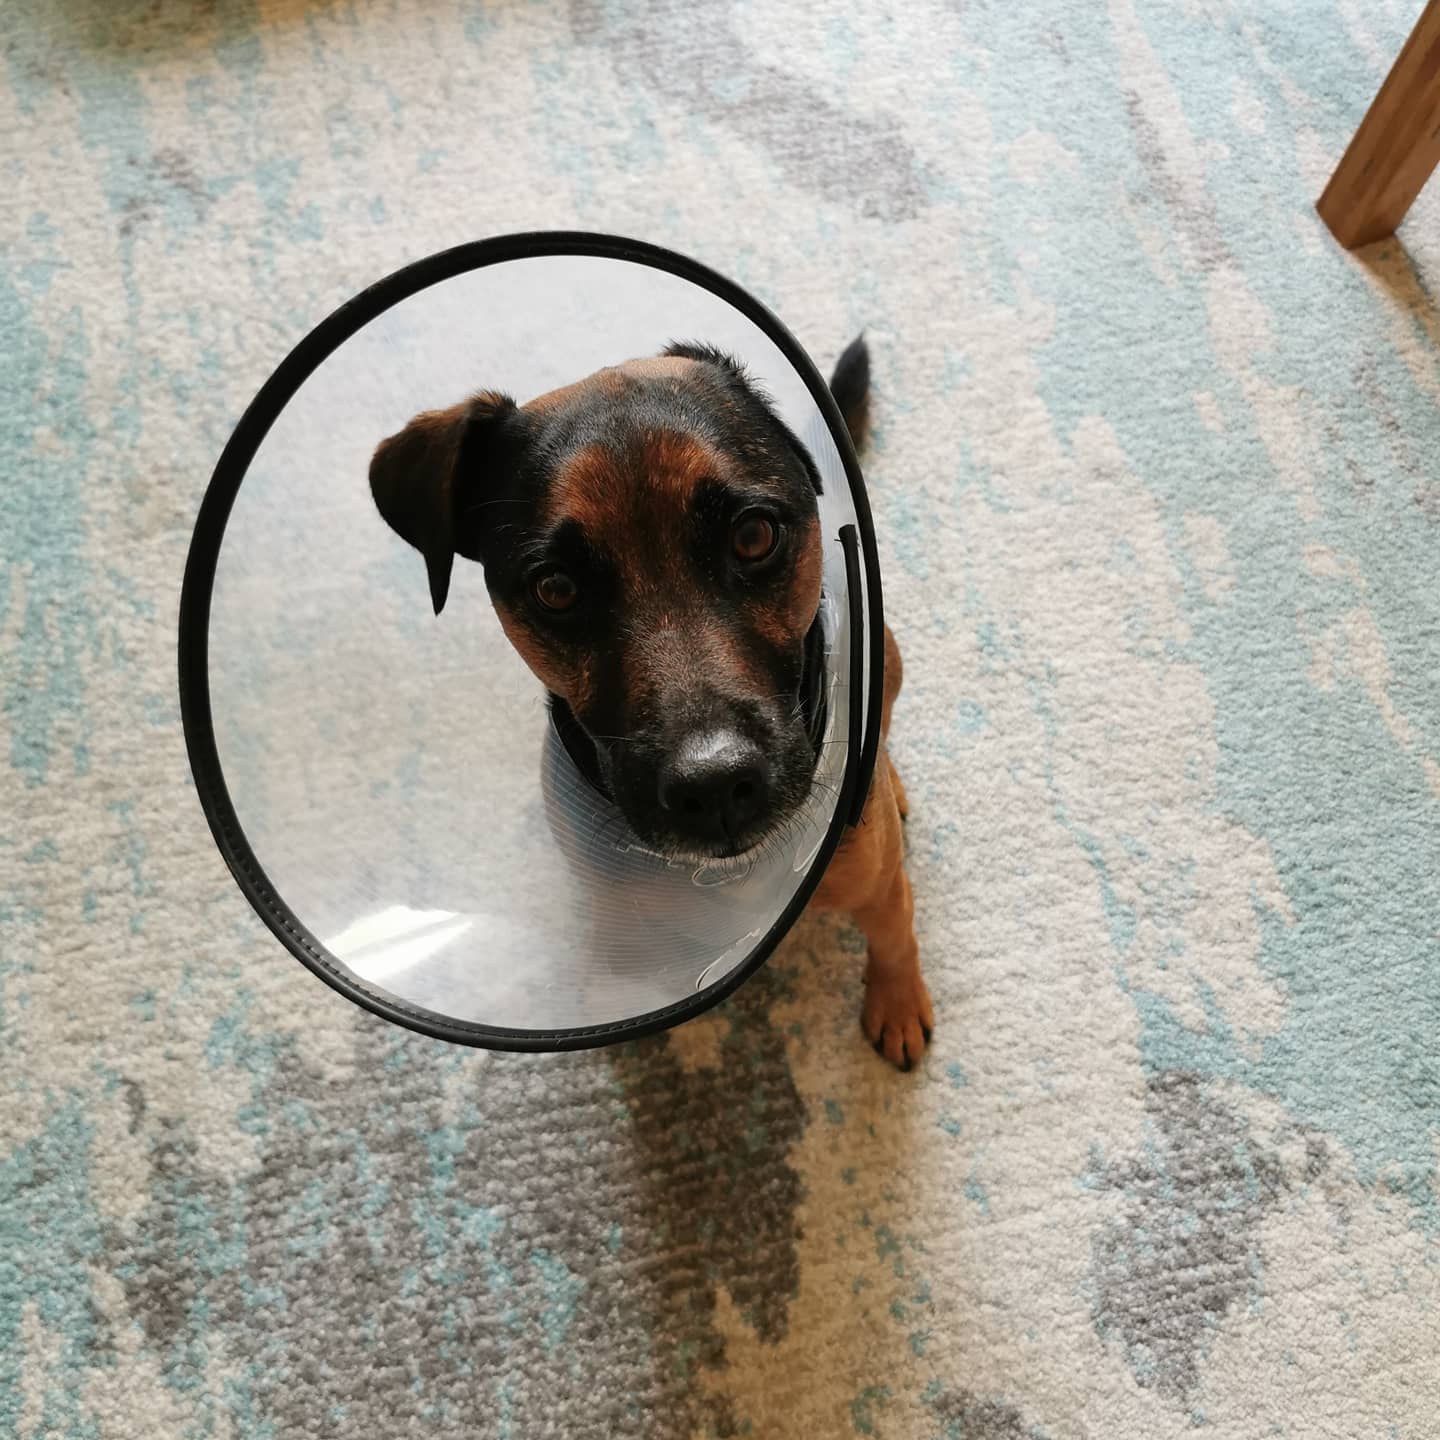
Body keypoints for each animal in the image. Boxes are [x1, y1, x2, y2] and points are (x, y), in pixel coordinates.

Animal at [371, 336, 933, 1071]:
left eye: (753, 536)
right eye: (556, 588)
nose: (716, 788)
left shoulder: (881, 887)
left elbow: (895, 937)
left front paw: (897, 1004)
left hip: (886, 656)